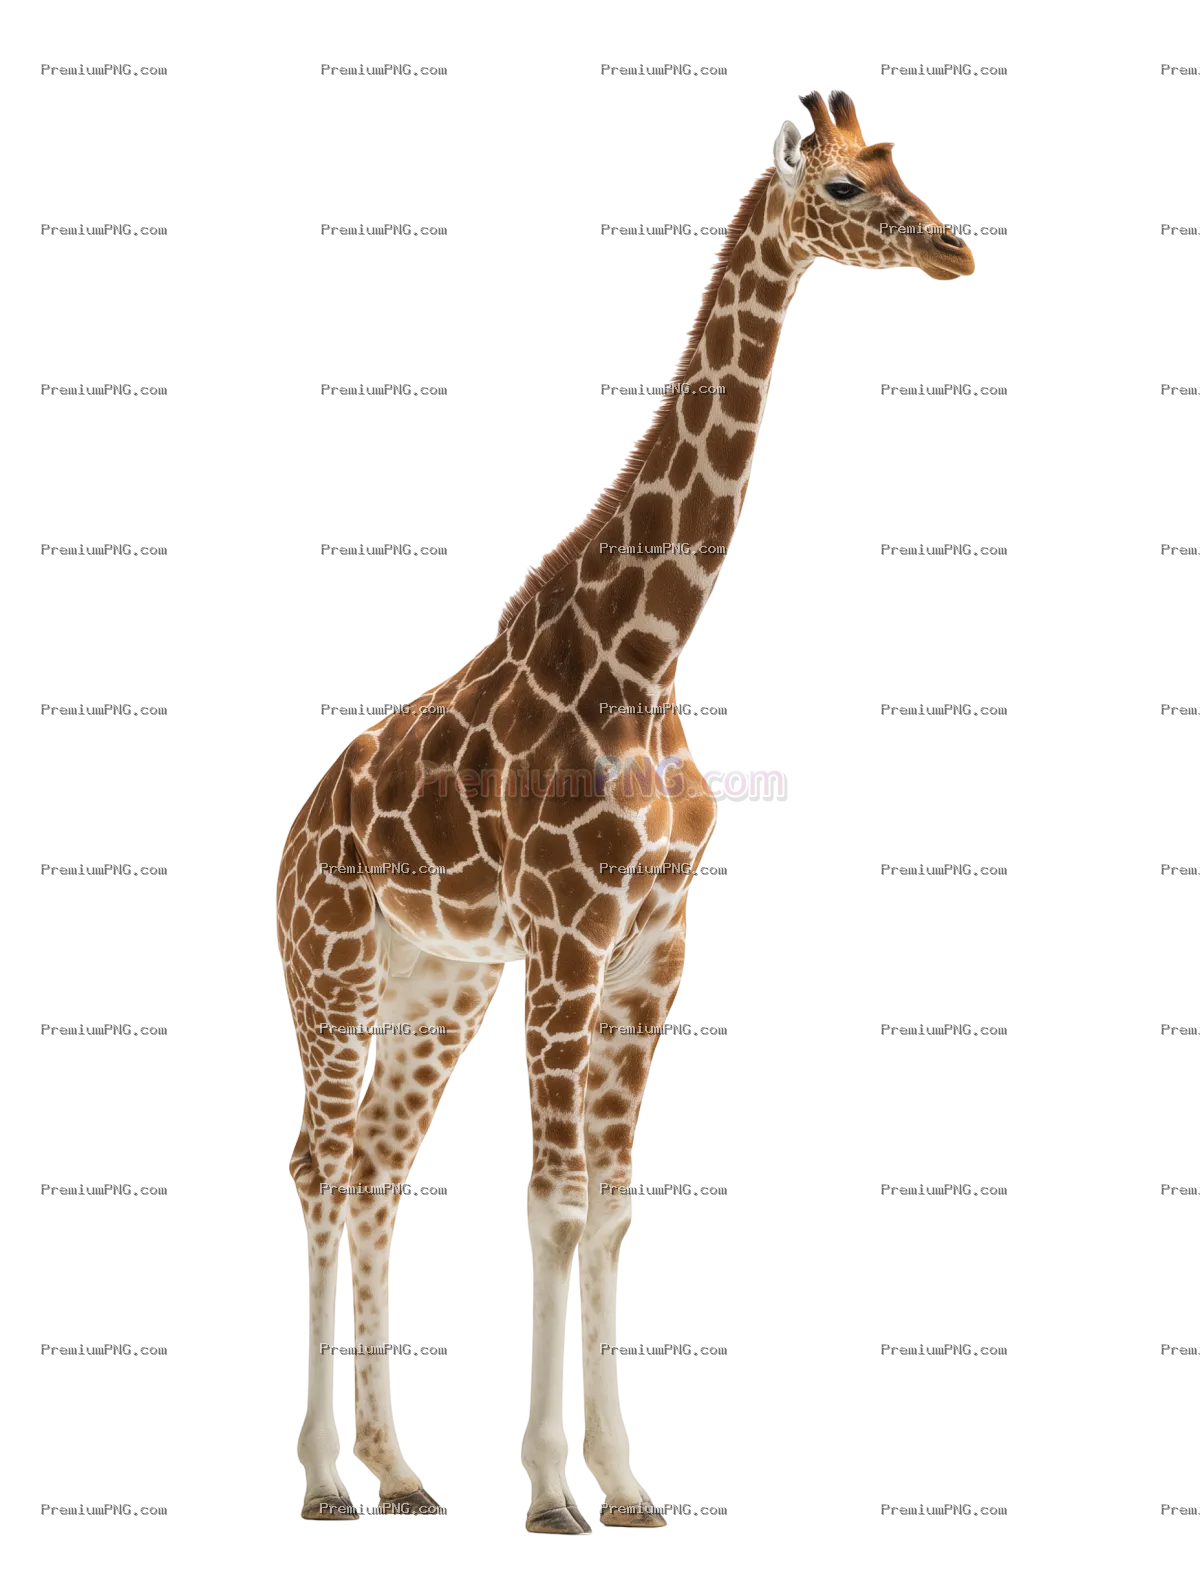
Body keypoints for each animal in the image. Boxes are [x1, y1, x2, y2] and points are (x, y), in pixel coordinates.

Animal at [278, 91, 972, 1529]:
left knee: (376, 1182)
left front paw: (631, 1483)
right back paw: (321, 1481)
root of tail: (289, 837)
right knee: (319, 1176)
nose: (958, 250)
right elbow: (549, 1200)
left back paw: (398, 1470)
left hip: (433, 989)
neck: (648, 654)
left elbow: (608, 1206)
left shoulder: (655, 948)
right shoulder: (571, 932)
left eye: (897, 165)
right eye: (844, 187)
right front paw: (552, 1490)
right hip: (334, 975)